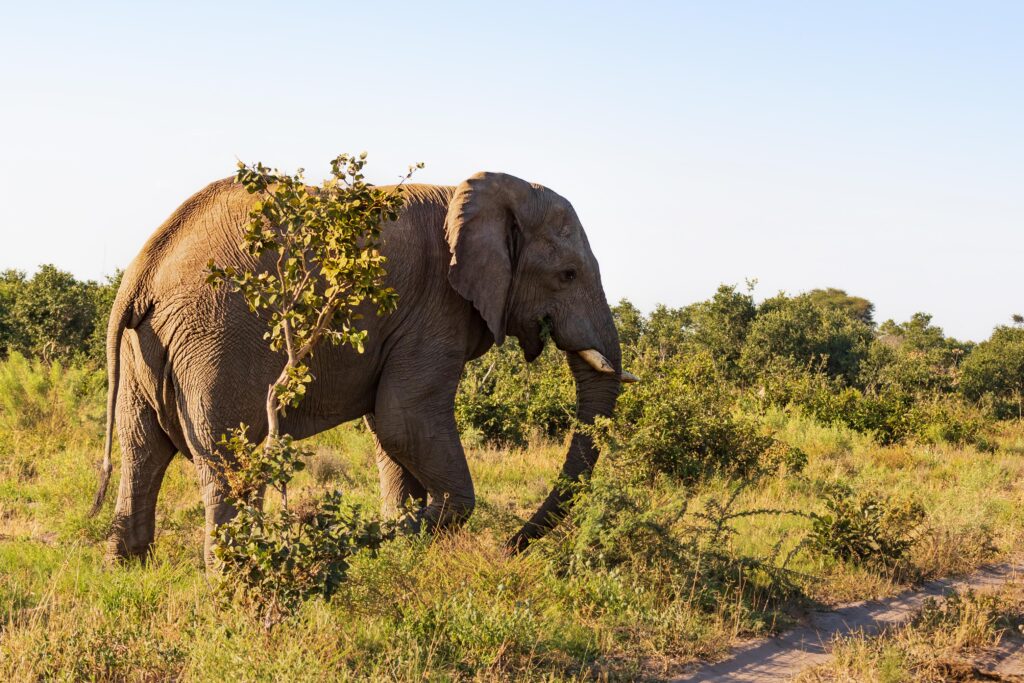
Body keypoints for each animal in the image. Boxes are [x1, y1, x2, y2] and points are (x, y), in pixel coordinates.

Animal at [91, 170, 636, 567]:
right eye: (567, 275)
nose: (509, 549)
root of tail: (142, 271)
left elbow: (390, 430)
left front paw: (398, 543)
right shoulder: (435, 306)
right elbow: (404, 421)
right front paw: (396, 537)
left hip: (148, 352)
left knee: (141, 452)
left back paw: (125, 568)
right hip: (216, 342)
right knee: (229, 462)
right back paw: (234, 575)